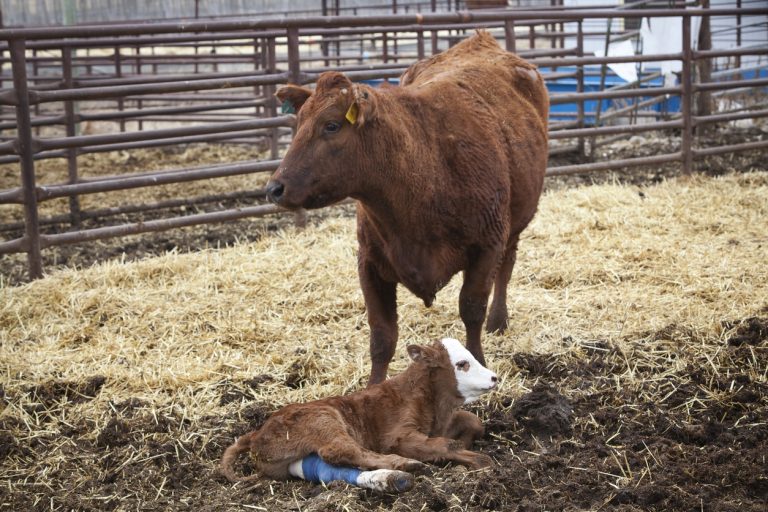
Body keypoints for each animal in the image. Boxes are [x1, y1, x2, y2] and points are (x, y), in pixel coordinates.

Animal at [220, 338, 498, 492]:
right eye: (462, 364)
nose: (494, 377)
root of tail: (256, 434)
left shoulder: (440, 424)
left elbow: (473, 421)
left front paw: (466, 445)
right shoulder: (396, 437)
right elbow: (446, 444)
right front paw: (477, 459)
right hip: (325, 419)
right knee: (342, 450)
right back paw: (406, 465)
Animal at [266, 31, 549, 384]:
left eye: (331, 125)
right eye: (299, 122)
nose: (275, 188)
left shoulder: (488, 246)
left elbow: (471, 310)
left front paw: (479, 363)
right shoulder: (369, 263)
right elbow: (382, 336)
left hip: (515, 223)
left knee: (507, 266)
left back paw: (498, 320)